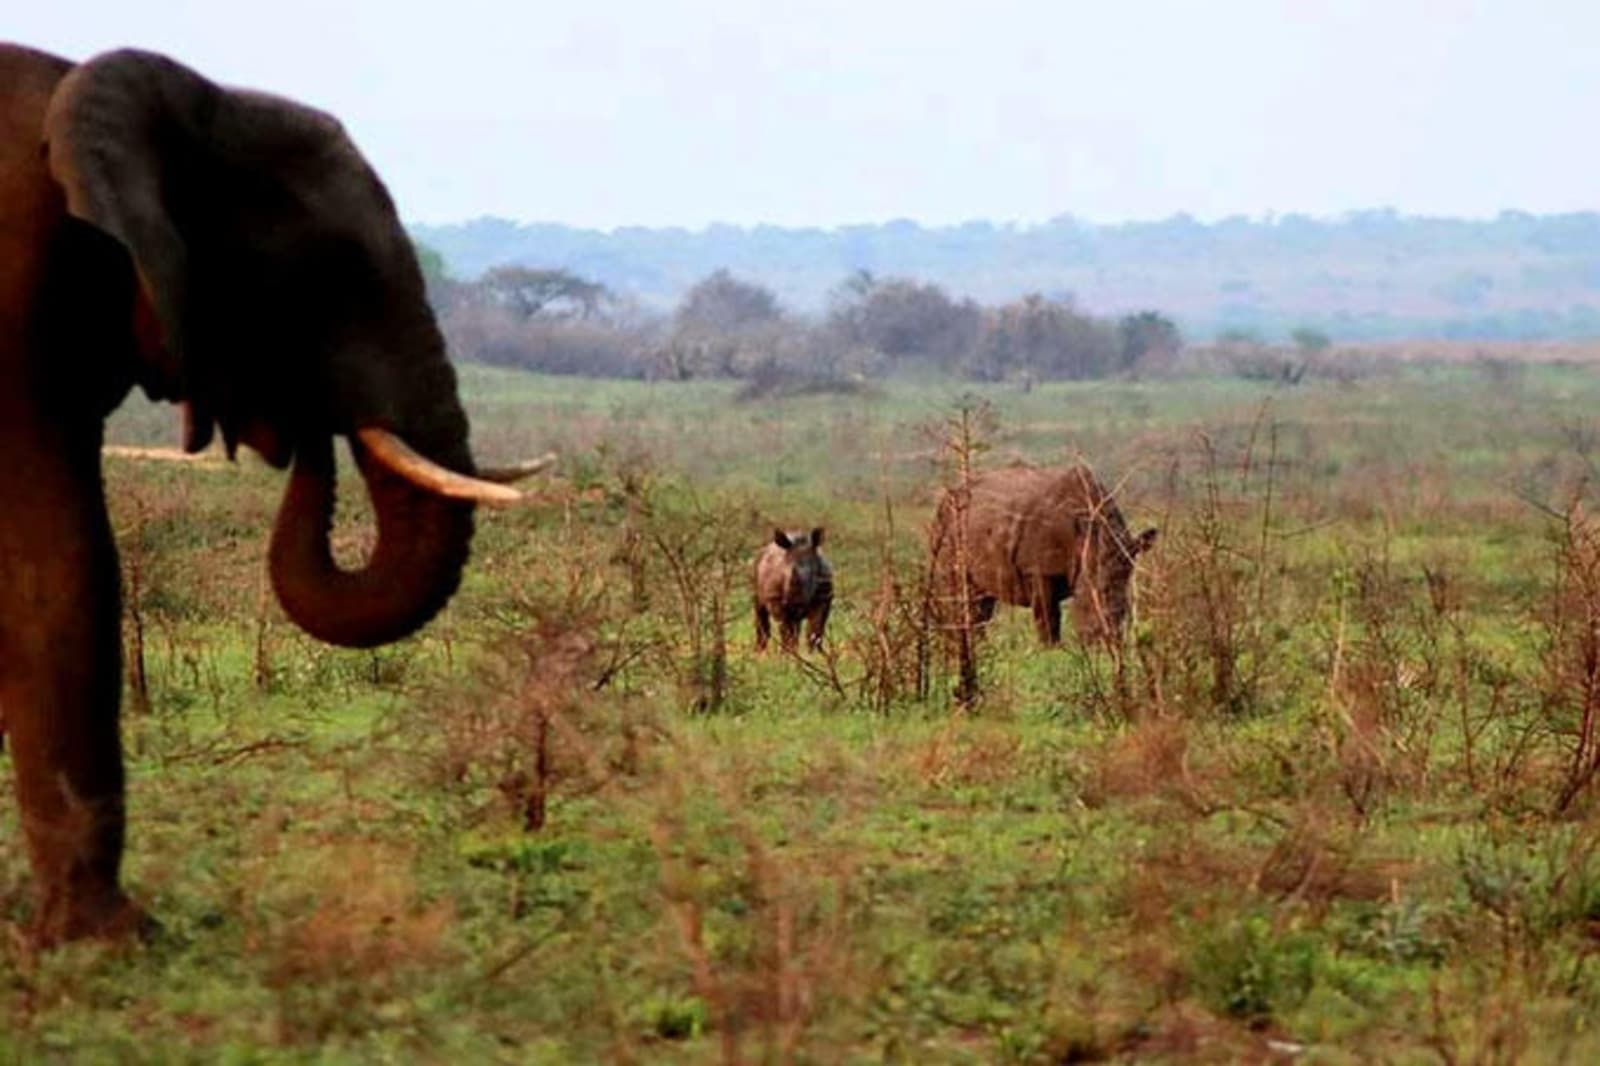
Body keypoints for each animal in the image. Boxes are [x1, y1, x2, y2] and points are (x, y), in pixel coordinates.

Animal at [929, 465, 1157, 646]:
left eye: (1126, 609)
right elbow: (1048, 616)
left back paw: (980, 648)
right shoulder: (1038, 568)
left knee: (981, 600)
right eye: (1087, 601)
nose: (1104, 643)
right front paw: (1050, 650)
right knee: (957, 590)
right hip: (948, 523)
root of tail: (948, 496)